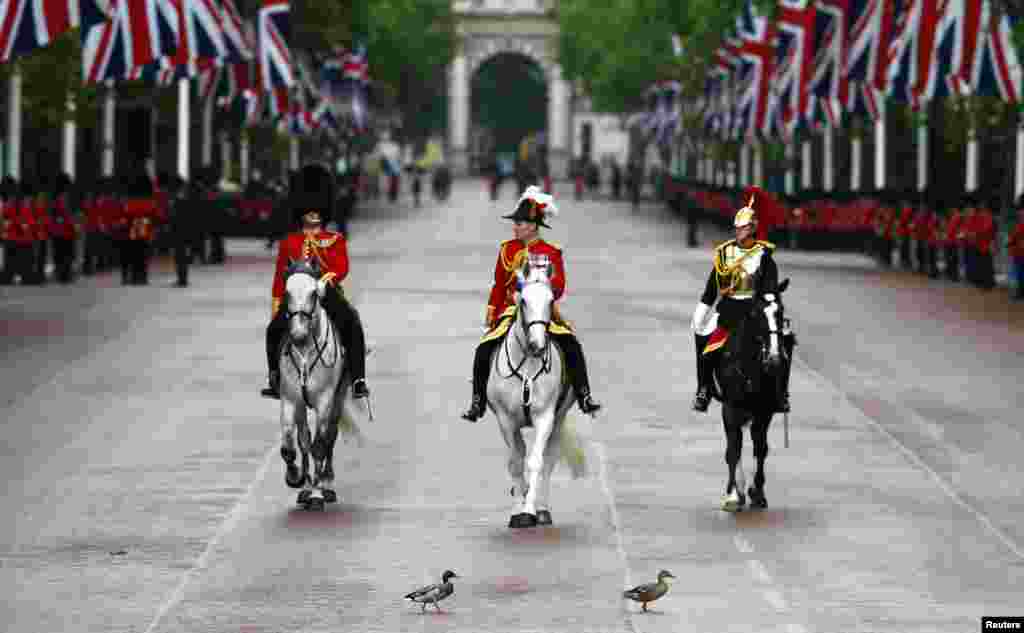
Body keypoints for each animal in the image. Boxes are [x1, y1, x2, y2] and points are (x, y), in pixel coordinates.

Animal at [278, 256, 362, 508]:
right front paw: (296, 478)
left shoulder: (325, 400)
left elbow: (320, 445)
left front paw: (317, 492)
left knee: (330, 436)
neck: (306, 349)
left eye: (314, 293)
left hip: (339, 396)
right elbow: (291, 445)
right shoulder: (290, 399)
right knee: (304, 438)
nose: (297, 335)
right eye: (286, 293)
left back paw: (326, 481)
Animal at [487, 254, 577, 524]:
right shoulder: (505, 419)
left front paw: (529, 509)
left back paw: (542, 508)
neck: (527, 361)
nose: (538, 345)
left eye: (550, 300)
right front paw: (519, 510)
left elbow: (536, 462)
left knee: (548, 459)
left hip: (559, 418)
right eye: (524, 301)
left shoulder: (545, 416)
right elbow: (516, 462)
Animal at [712, 278, 790, 510]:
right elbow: (733, 449)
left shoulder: (764, 411)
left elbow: (761, 447)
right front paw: (732, 494)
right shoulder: (730, 408)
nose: (774, 359)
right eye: (755, 313)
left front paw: (757, 490)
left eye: (781, 311)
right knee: (734, 442)